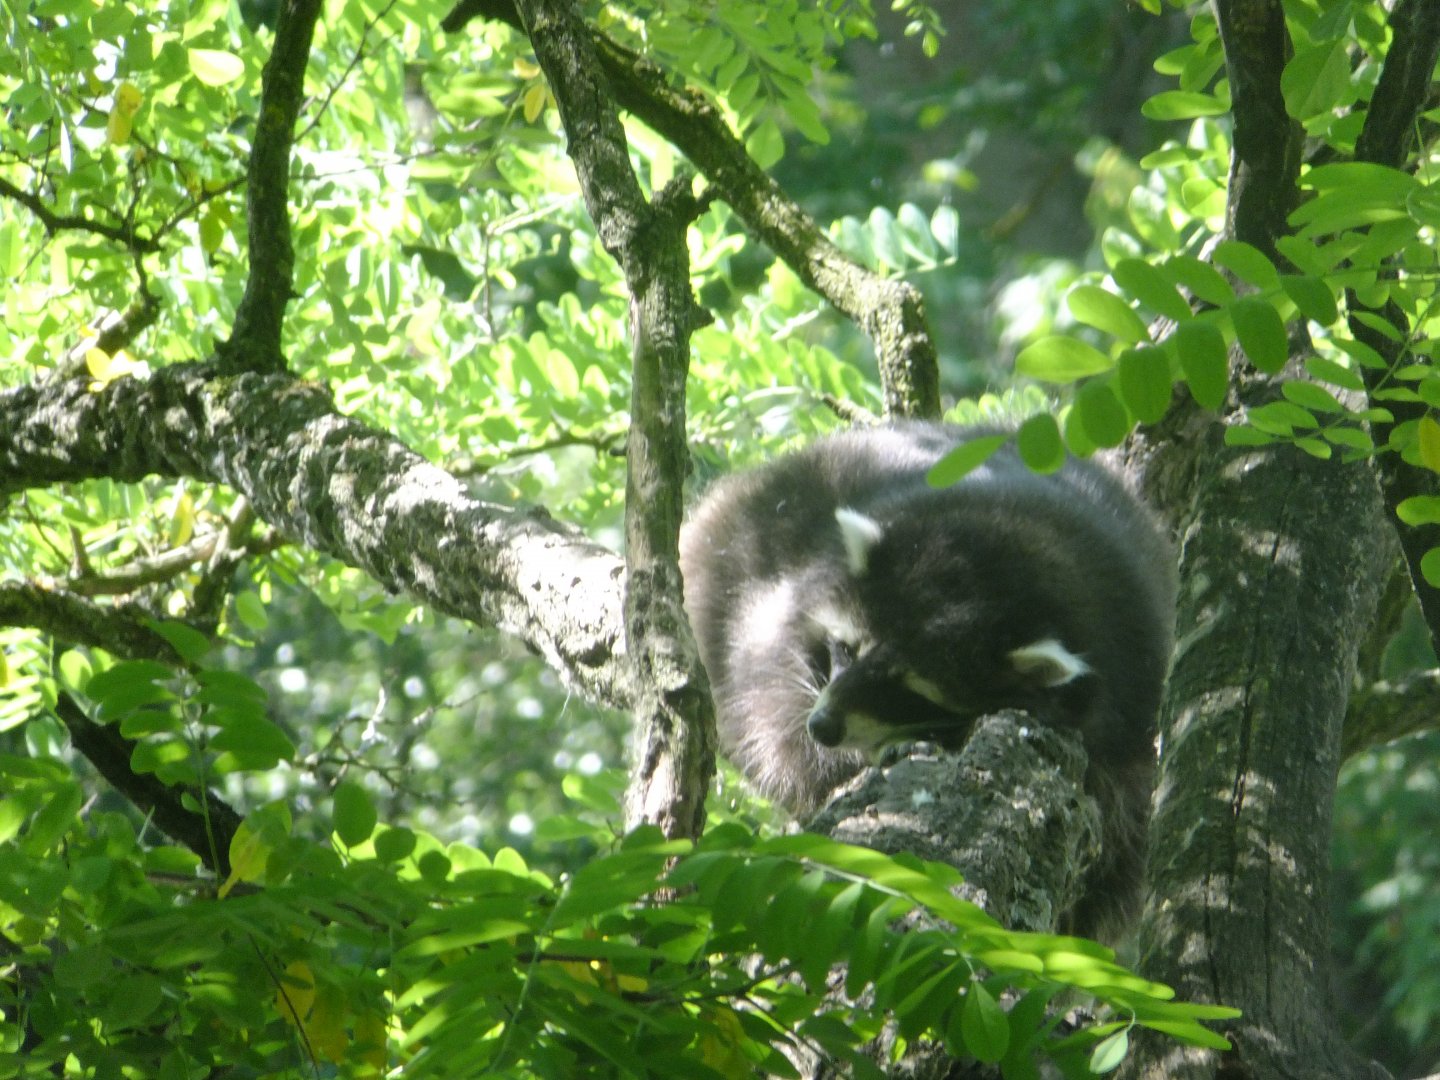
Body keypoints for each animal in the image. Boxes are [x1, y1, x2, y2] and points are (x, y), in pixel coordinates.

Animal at [679, 423, 1176, 938]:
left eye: (908, 691)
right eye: (848, 649)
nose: (824, 727)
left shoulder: (1129, 689)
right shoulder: (777, 592)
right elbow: (768, 707)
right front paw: (833, 758)